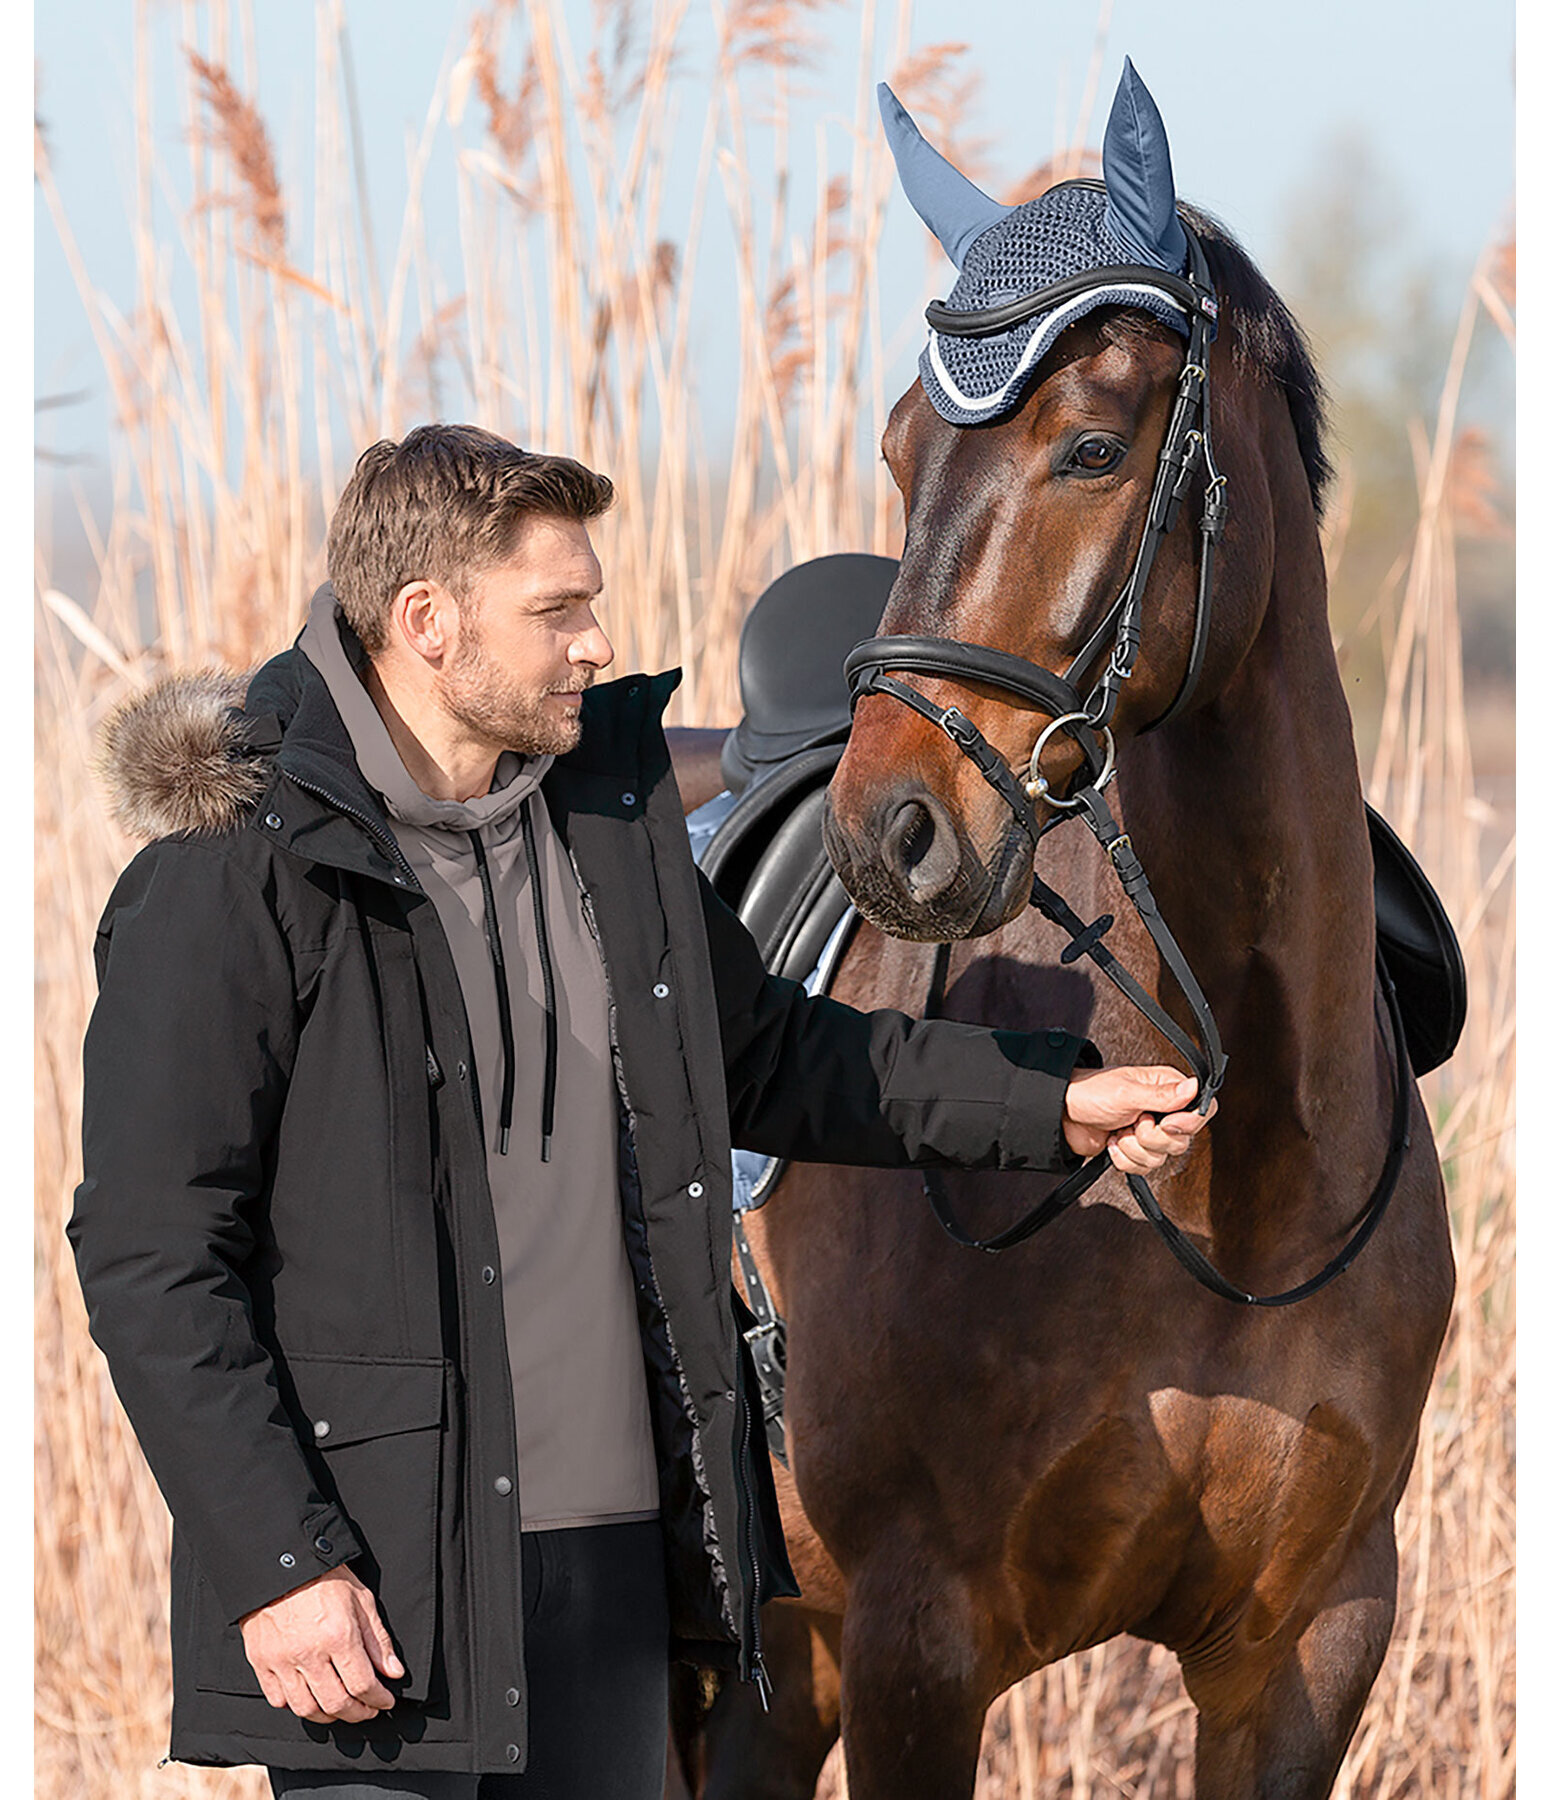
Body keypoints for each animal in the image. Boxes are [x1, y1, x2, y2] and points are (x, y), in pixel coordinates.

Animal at [673, 63, 1454, 1800]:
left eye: (1091, 447)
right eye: (900, 448)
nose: (891, 833)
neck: (1246, 1181)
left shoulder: (1303, 1653)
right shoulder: (914, 1644)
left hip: (766, 1672)